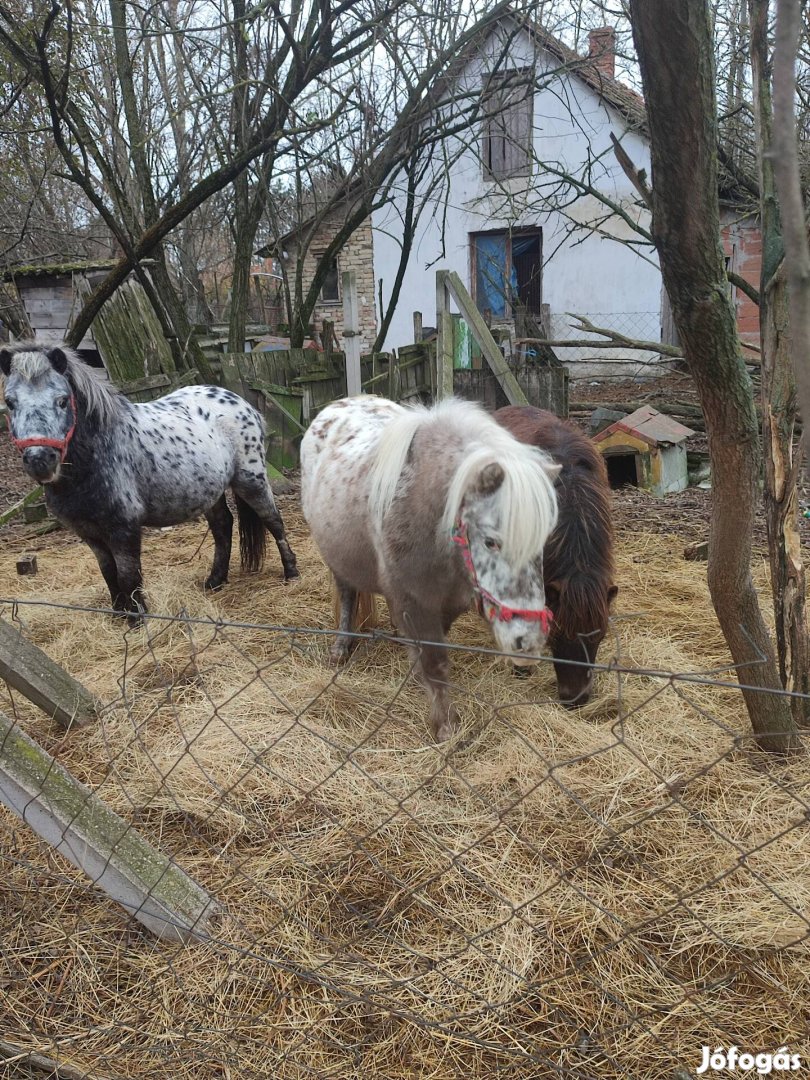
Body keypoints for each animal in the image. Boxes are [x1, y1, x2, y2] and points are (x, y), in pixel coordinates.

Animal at [1, 345, 300, 617]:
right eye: (10, 402)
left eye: (63, 400)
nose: (40, 460)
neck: (96, 455)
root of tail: (241, 403)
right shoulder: (89, 533)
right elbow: (108, 573)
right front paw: (119, 614)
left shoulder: (124, 528)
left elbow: (128, 575)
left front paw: (137, 618)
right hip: (209, 491)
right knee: (223, 526)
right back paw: (215, 580)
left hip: (251, 480)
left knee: (274, 521)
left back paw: (291, 572)